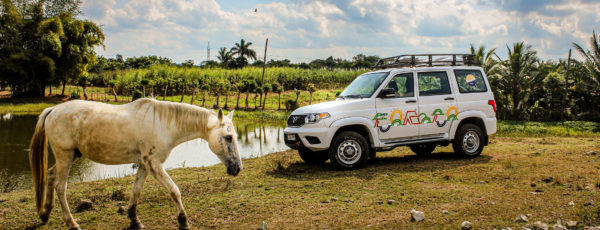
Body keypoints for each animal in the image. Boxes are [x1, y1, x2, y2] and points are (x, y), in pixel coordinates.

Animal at [29, 98, 241, 229]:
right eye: (228, 137)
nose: (237, 168)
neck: (164, 124)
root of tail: (53, 110)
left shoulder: (145, 164)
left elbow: (136, 191)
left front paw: (134, 220)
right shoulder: (155, 165)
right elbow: (174, 191)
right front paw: (183, 221)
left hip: (70, 156)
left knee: (50, 175)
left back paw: (45, 213)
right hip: (65, 156)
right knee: (60, 187)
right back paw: (72, 223)